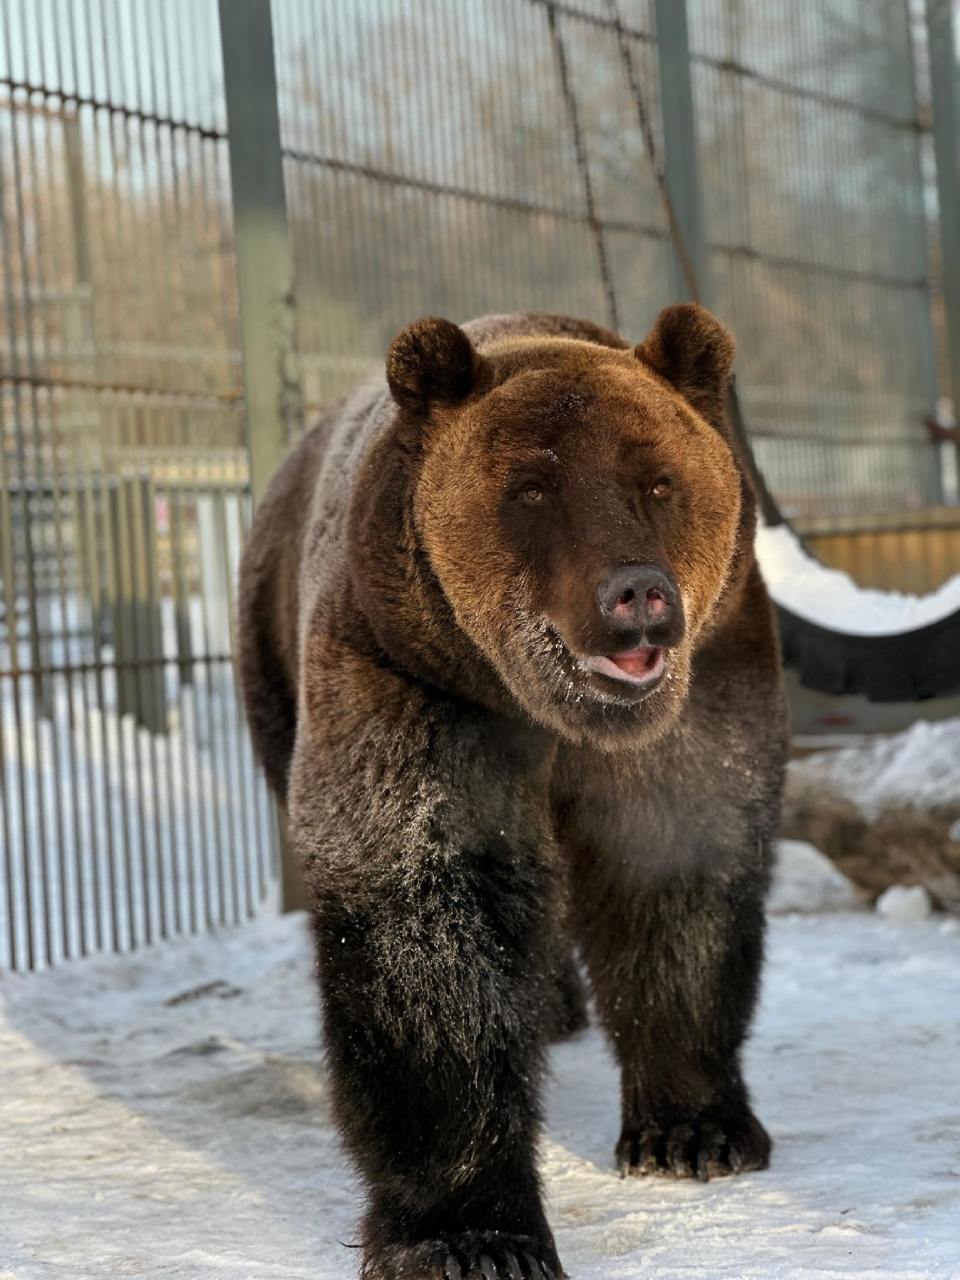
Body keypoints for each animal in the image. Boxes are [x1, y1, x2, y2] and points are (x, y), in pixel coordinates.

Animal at [239, 307, 788, 1280]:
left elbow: (677, 877)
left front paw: (693, 1131)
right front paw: (472, 1234)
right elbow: (425, 921)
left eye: (658, 481)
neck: (555, 720)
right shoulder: (415, 683)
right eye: (532, 490)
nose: (636, 592)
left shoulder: (707, 683)